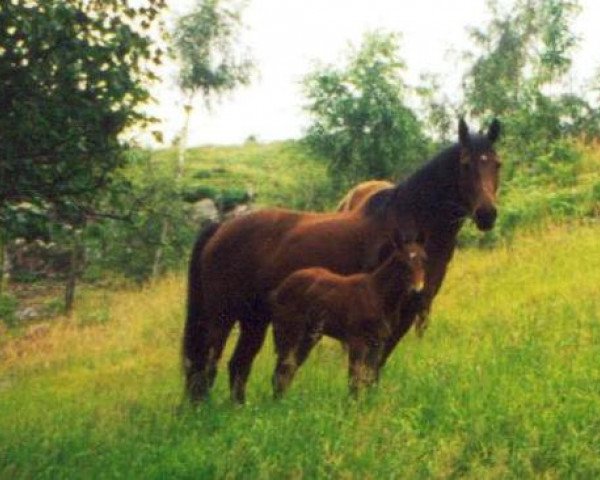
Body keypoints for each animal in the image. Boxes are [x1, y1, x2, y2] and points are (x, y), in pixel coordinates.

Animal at [183, 118, 502, 404]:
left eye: (497, 163)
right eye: (466, 164)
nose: (487, 214)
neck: (409, 219)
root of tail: (221, 227)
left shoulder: (407, 315)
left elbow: (374, 371)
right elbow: (367, 371)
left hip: (255, 318)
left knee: (238, 364)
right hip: (222, 316)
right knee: (206, 366)